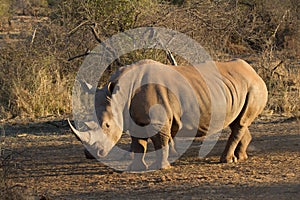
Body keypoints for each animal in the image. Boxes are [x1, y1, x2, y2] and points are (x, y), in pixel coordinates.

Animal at [69, 58, 268, 171]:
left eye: (107, 125)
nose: (90, 154)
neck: (122, 92)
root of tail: (254, 72)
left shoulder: (159, 120)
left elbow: (160, 142)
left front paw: (161, 168)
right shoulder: (133, 117)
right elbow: (138, 144)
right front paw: (136, 168)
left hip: (254, 87)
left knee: (240, 123)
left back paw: (226, 161)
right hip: (237, 88)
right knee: (238, 122)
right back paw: (240, 158)